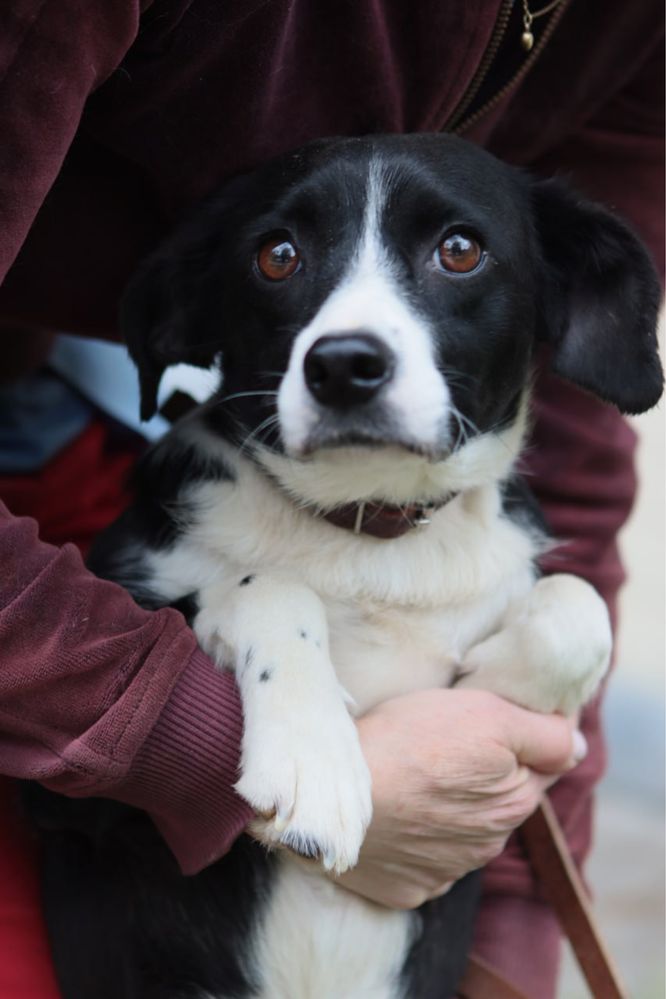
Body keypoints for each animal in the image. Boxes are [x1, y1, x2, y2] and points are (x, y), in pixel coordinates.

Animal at [29, 137, 660, 999]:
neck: (372, 532)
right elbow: (270, 585)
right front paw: (312, 757)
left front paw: (495, 688)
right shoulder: (58, 797)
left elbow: (577, 604)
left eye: (459, 249)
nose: (345, 364)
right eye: (277, 254)